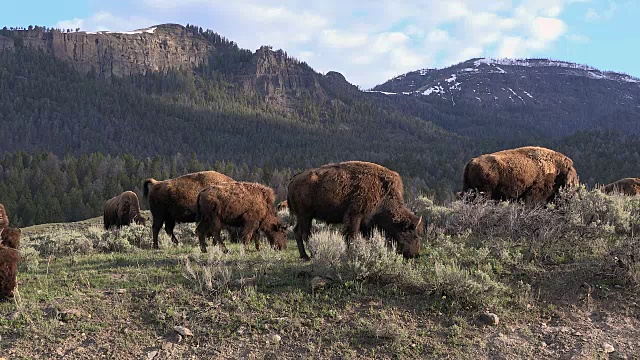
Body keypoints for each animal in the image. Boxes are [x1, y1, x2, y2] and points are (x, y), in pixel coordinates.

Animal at [288, 160, 422, 258]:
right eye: (415, 237)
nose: (415, 255)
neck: (383, 193)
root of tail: (294, 179)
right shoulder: (355, 216)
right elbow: (352, 236)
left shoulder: (365, 223)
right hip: (306, 216)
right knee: (305, 234)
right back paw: (312, 255)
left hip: (303, 217)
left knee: (297, 231)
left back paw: (304, 256)